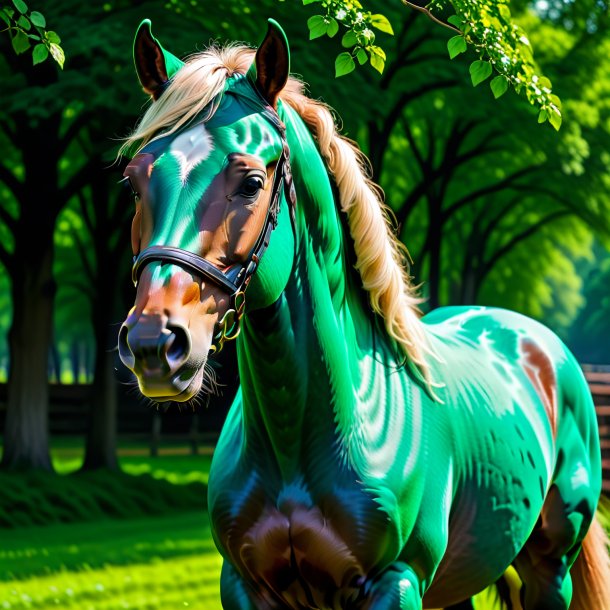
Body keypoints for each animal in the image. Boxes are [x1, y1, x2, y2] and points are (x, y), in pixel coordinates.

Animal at [116, 19, 604, 608]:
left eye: (252, 181)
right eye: (136, 181)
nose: (153, 344)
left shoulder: (397, 582)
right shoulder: (243, 585)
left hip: (549, 567)